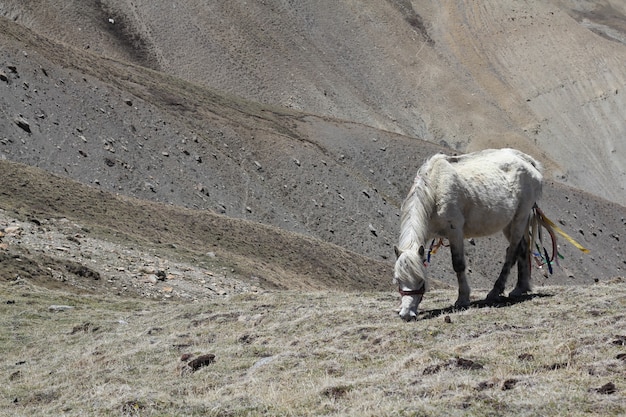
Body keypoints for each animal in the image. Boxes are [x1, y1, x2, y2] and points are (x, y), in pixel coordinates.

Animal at [394, 148, 540, 320]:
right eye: (398, 280)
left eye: (420, 281)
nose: (406, 314)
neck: (434, 189)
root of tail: (528, 160)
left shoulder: (455, 232)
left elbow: (458, 264)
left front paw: (462, 299)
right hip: (510, 223)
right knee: (522, 248)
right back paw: (520, 288)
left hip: (520, 217)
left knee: (511, 253)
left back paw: (495, 291)